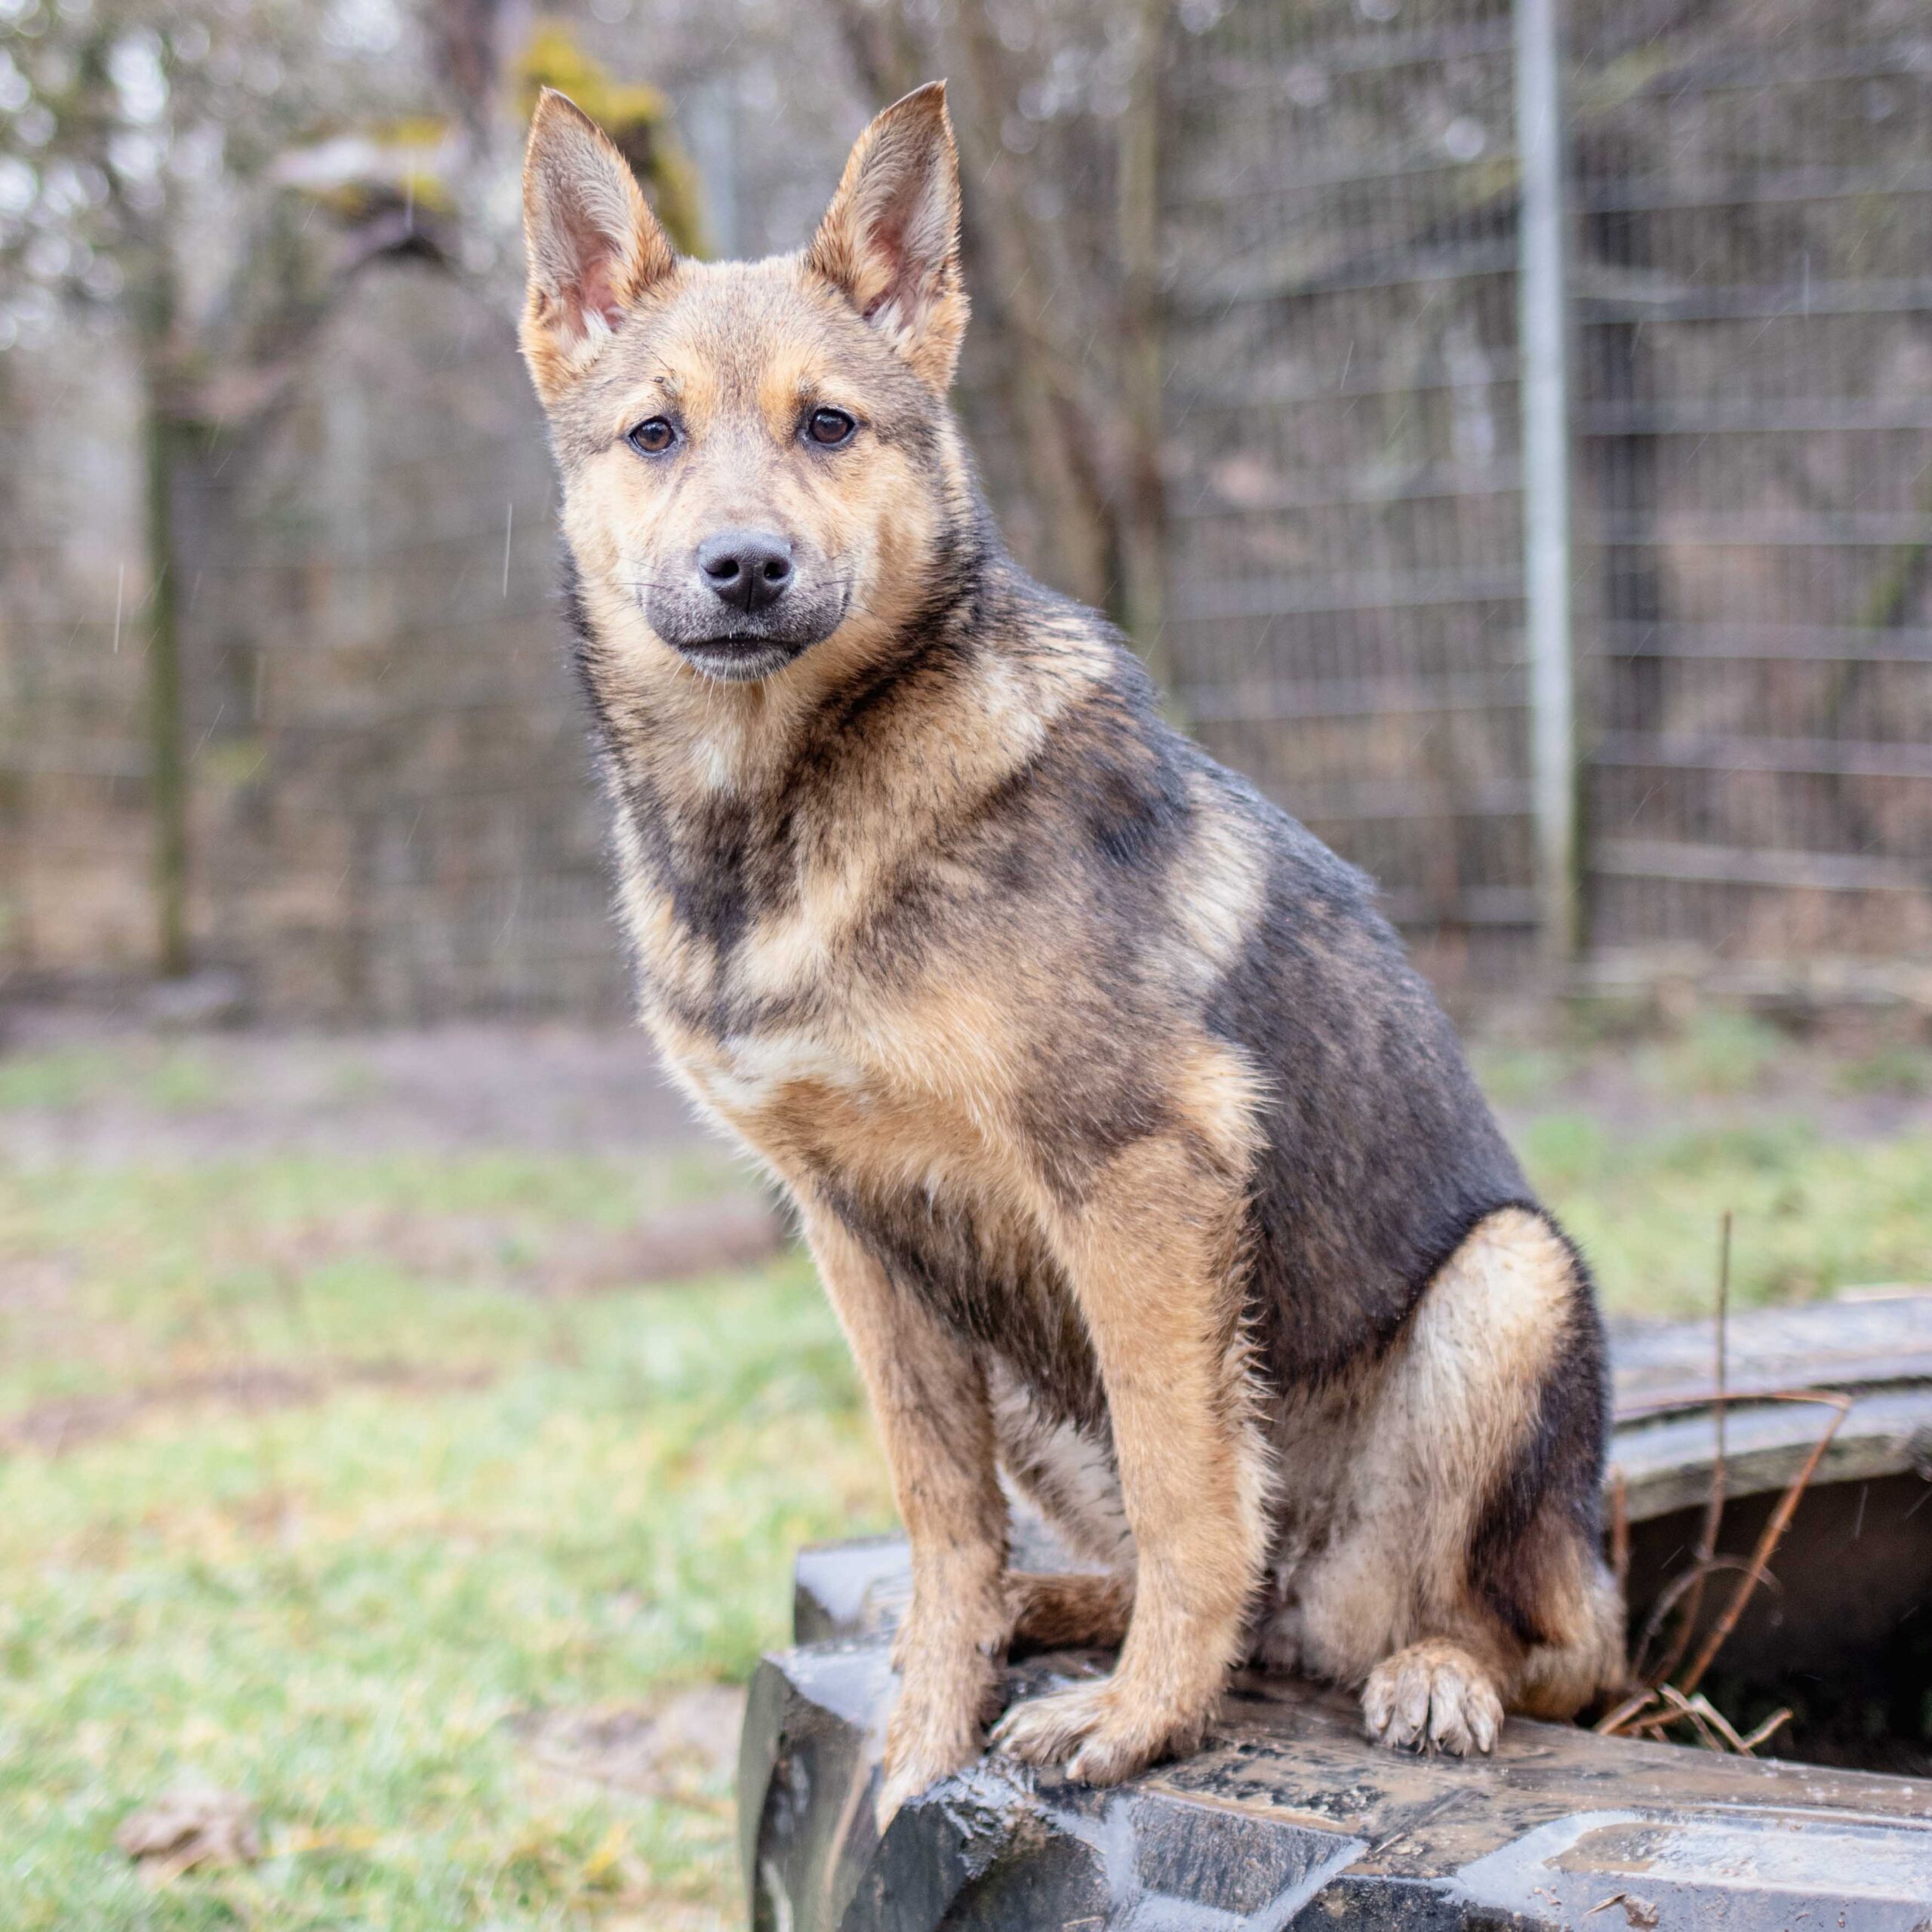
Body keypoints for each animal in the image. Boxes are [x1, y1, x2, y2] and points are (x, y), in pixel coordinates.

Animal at [518, 79, 1625, 1823]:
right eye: (655, 435)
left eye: (828, 426)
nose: (745, 568)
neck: (787, 806)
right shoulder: (858, 1231)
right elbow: (941, 1515)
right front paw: (923, 1732)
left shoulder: (1138, 1173)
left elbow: (1189, 1494)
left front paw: (1142, 1723)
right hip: (1030, 1365)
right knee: (1192, 1582)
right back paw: (1050, 1615)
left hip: (1508, 1285)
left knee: (1503, 1636)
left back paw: (1427, 1672)